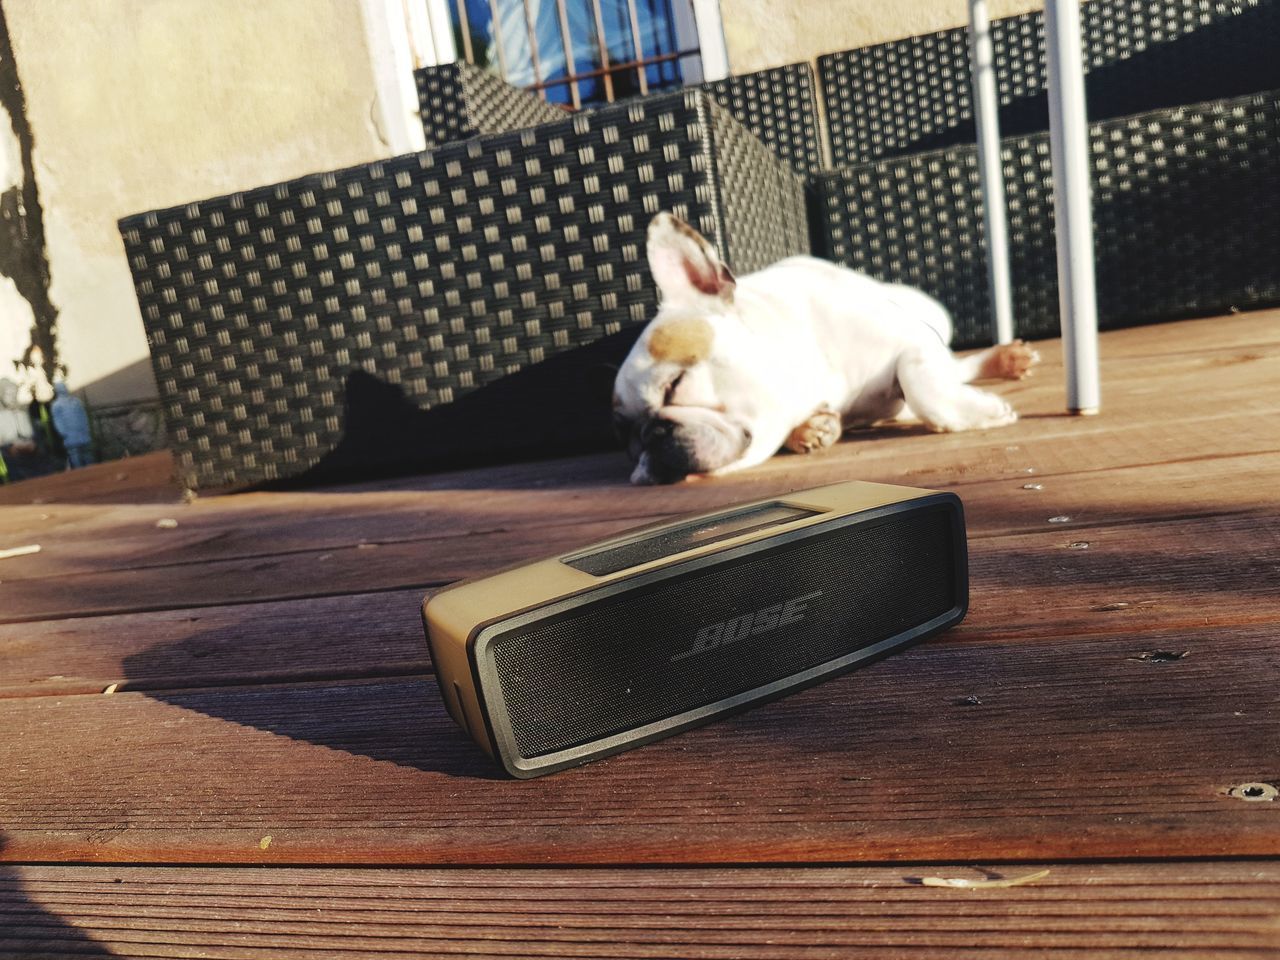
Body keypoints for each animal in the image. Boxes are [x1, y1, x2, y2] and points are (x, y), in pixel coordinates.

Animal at [611, 218, 1039, 488]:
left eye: (675, 385)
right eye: (625, 438)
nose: (648, 438)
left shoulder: (912, 337)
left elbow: (919, 381)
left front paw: (981, 412)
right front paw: (810, 429)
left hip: (931, 315)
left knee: (953, 366)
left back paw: (1005, 360)